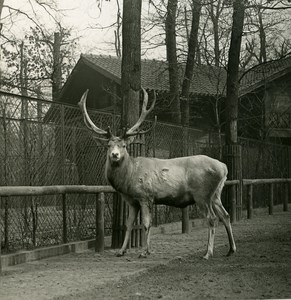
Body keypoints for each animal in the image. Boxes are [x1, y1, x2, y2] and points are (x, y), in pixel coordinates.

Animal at [79, 88, 237, 258]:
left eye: (123, 145)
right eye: (108, 145)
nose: (115, 155)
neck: (128, 178)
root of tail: (223, 167)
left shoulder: (145, 196)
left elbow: (146, 224)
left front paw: (145, 251)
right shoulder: (131, 201)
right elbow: (128, 224)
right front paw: (121, 251)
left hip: (202, 194)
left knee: (212, 218)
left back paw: (208, 253)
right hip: (216, 194)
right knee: (225, 215)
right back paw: (231, 249)